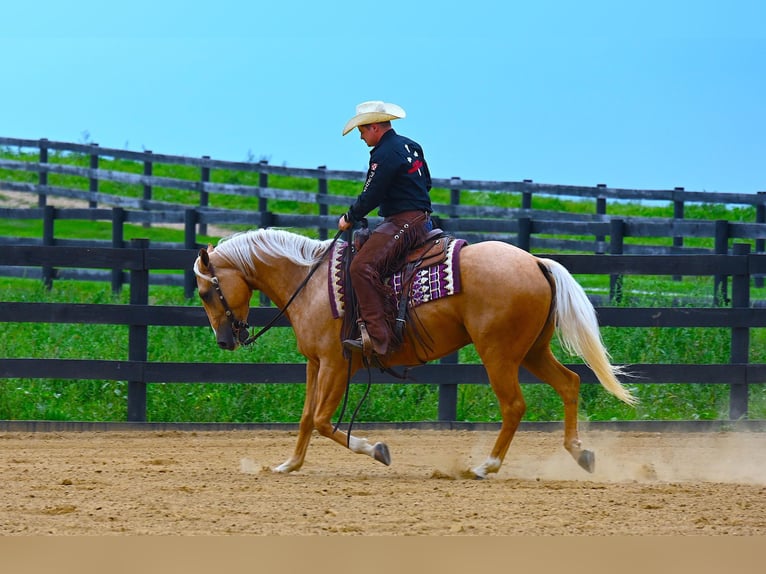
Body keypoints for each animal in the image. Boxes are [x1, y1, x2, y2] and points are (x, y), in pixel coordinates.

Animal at [194, 228, 636, 476]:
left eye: (204, 292)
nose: (224, 340)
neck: (312, 281)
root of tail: (535, 262)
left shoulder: (338, 363)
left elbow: (321, 420)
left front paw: (376, 450)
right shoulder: (314, 362)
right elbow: (305, 419)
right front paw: (289, 465)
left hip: (499, 355)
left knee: (514, 405)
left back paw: (485, 466)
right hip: (532, 352)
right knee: (570, 383)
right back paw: (580, 453)